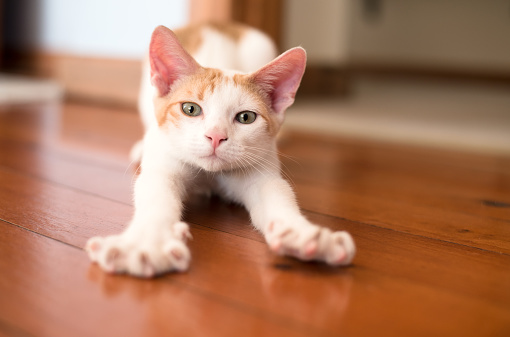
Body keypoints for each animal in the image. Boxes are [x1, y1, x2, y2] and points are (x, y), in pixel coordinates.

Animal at [85, 22, 354, 276]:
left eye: (246, 117)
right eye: (190, 109)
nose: (215, 136)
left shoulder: (262, 171)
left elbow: (277, 193)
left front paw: (301, 232)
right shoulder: (164, 165)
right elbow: (156, 196)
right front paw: (146, 243)